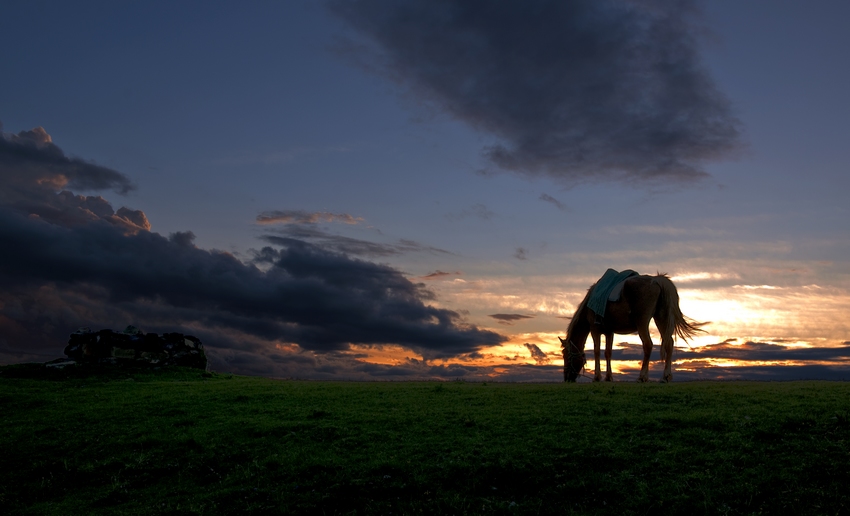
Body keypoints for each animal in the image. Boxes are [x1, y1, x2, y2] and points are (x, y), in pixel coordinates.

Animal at [556, 274, 704, 382]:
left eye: (565, 355)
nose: (566, 378)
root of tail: (656, 280)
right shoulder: (609, 332)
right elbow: (608, 353)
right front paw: (609, 377)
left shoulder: (595, 329)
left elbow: (597, 351)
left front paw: (597, 377)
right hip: (661, 319)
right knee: (669, 343)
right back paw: (665, 377)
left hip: (642, 322)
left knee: (648, 345)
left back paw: (642, 377)